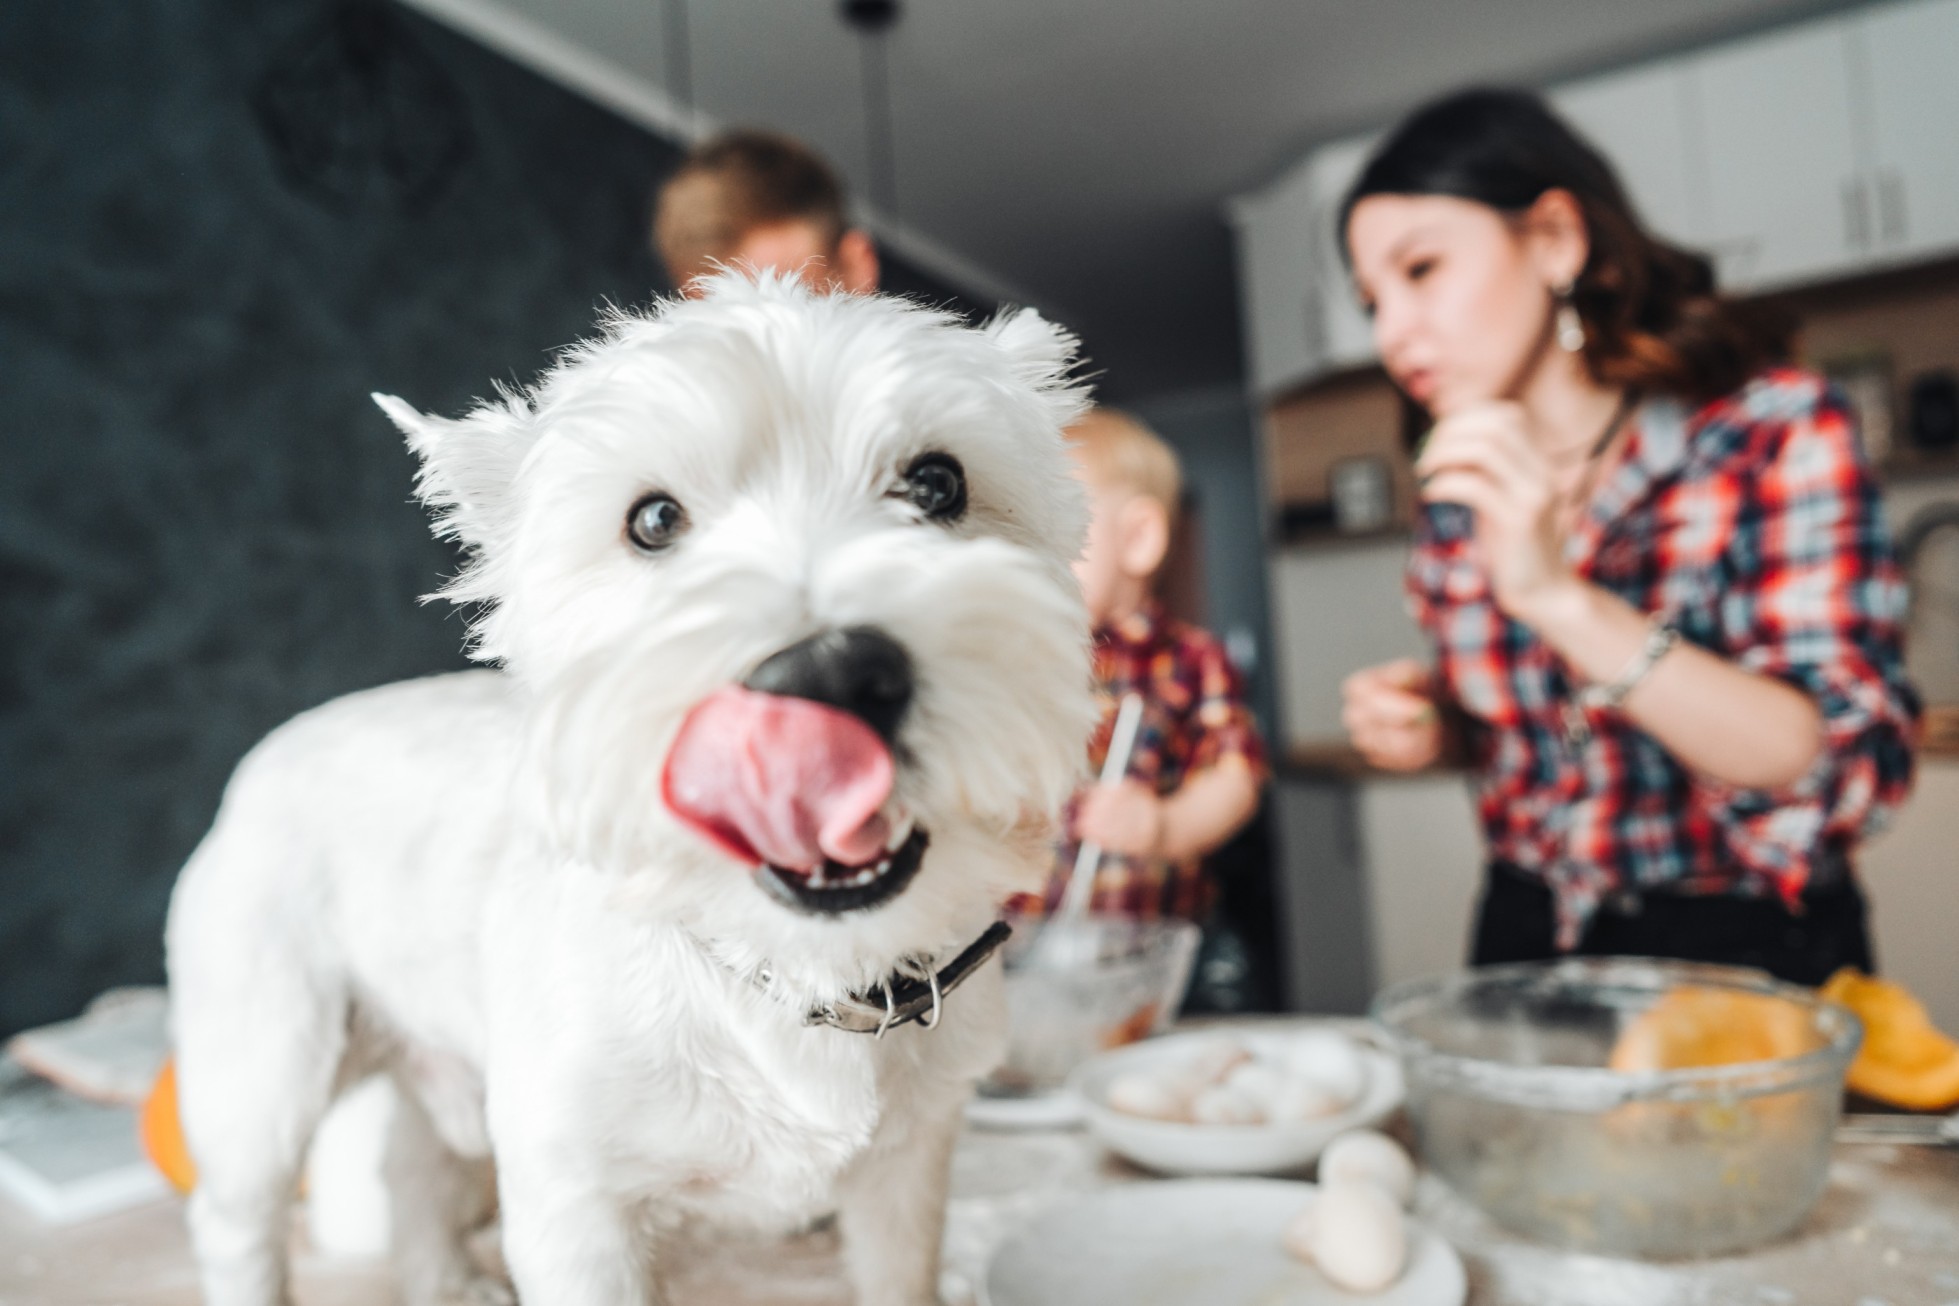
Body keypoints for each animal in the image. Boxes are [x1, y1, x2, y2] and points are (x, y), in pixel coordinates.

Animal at [160, 270, 1097, 1300]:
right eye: (652, 521)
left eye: (938, 483)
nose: (828, 677)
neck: (788, 968)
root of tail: (264, 756)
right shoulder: (574, 1206)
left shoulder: (909, 1170)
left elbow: (901, 1275)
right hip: (264, 1065)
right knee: (238, 1216)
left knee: (413, 1163)